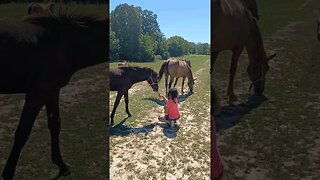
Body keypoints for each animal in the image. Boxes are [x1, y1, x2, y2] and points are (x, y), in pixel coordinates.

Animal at [0, 11, 107, 179]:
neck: (61, 45)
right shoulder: (37, 94)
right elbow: (22, 133)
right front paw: (8, 174)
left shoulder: (52, 90)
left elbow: (55, 124)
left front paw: (62, 166)